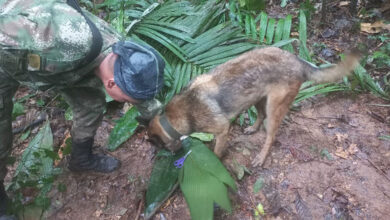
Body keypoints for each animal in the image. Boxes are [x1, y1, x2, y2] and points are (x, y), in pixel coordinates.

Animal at [148, 46, 362, 167]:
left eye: (159, 146)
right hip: (259, 98)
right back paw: (252, 128)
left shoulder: (222, 129)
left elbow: (217, 151)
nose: (172, 155)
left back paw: (261, 157)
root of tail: (298, 61)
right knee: (260, 116)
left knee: (271, 135)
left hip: (274, 107)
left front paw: (215, 161)